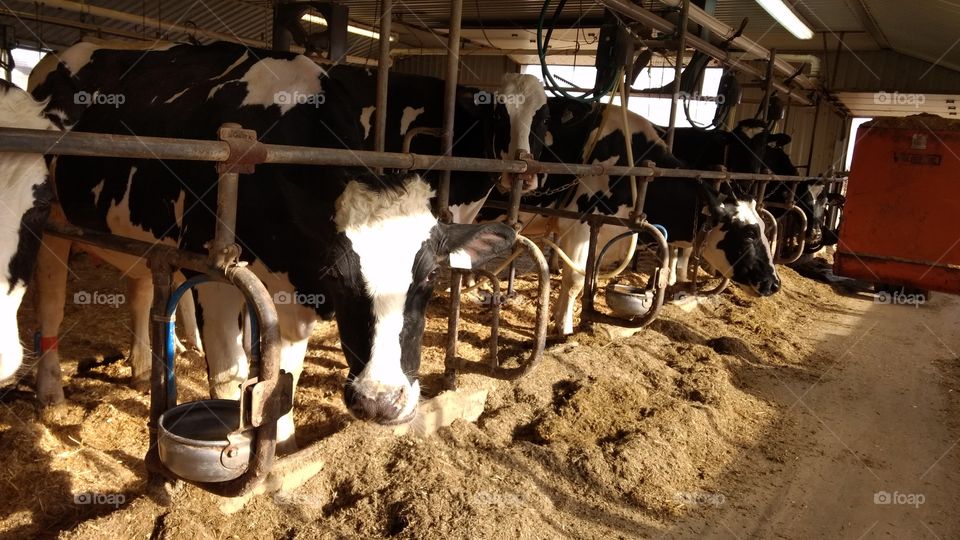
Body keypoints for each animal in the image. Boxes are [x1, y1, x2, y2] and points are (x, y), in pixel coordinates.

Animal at [27, 41, 516, 448]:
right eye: (338, 274)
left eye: (431, 275)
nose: (380, 401)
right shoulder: (215, 276)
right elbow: (230, 375)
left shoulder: (292, 291)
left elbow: (286, 373)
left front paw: (281, 445)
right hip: (50, 222)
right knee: (49, 302)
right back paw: (52, 392)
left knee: (141, 290)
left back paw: (142, 368)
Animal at [497, 98, 780, 335]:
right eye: (749, 233)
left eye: (764, 230)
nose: (773, 283)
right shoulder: (578, 223)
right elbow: (575, 280)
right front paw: (564, 329)